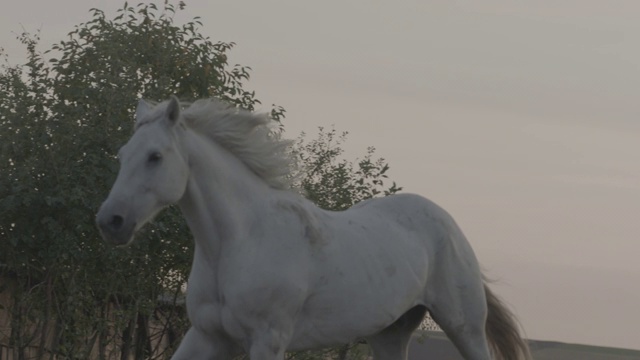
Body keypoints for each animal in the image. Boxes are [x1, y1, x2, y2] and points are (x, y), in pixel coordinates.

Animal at [97, 96, 532, 360]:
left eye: (155, 156)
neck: (237, 243)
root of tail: (449, 226)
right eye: (122, 155)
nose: (110, 222)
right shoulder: (205, 335)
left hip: (465, 327)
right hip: (390, 332)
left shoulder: (268, 340)